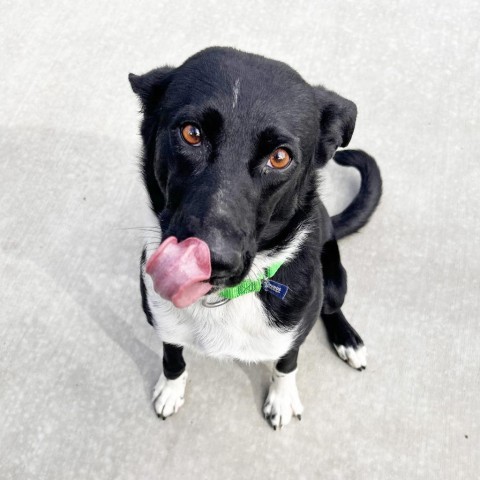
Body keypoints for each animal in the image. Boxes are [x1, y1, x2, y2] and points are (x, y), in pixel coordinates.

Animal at [128, 47, 382, 430]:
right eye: (192, 133)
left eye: (279, 157)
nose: (212, 260)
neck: (221, 300)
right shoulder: (161, 320)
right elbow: (172, 357)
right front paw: (171, 389)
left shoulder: (292, 333)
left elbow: (287, 362)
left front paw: (282, 398)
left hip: (334, 279)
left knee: (332, 307)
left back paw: (347, 339)